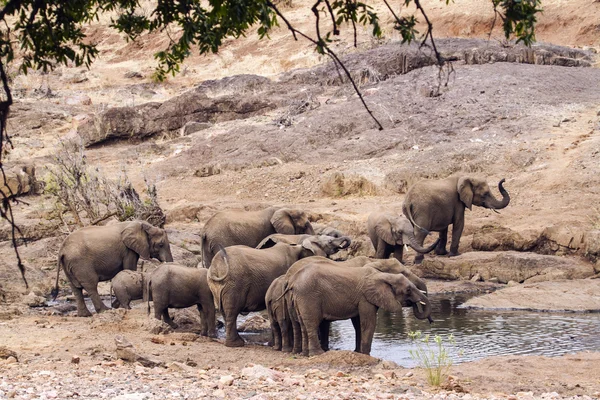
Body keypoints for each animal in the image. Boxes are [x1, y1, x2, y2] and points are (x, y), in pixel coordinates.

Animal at [206, 234, 350, 346]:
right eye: (330, 242)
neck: (298, 245)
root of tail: (216, 265)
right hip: (235, 283)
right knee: (232, 311)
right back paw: (236, 344)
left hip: (218, 286)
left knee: (225, 311)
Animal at [270, 256, 428, 354]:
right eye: (403, 274)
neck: (375, 261)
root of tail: (289, 279)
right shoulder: (364, 297)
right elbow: (366, 323)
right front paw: (364, 354)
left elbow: (358, 323)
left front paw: (358, 352)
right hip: (308, 296)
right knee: (311, 323)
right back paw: (317, 353)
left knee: (300, 324)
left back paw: (301, 352)